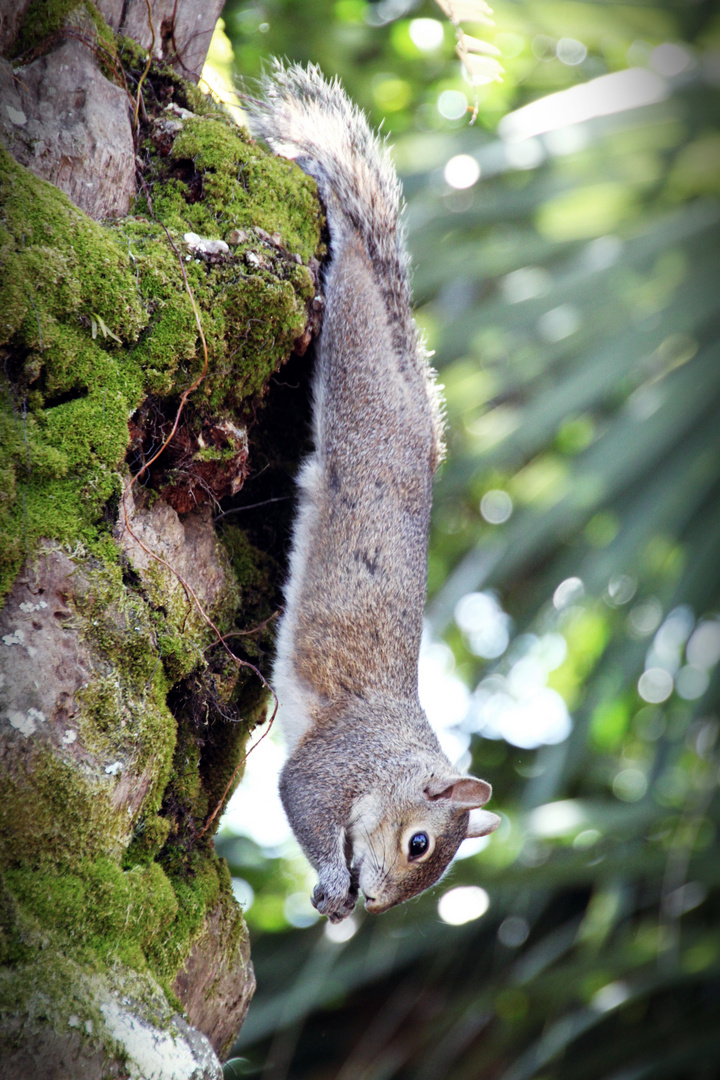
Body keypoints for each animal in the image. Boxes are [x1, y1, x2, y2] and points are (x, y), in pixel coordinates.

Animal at [245, 63, 498, 924]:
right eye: (420, 843)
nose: (380, 903)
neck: (390, 760)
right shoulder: (327, 762)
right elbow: (299, 797)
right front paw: (332, 880)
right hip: (354, 371)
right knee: (351, 273)